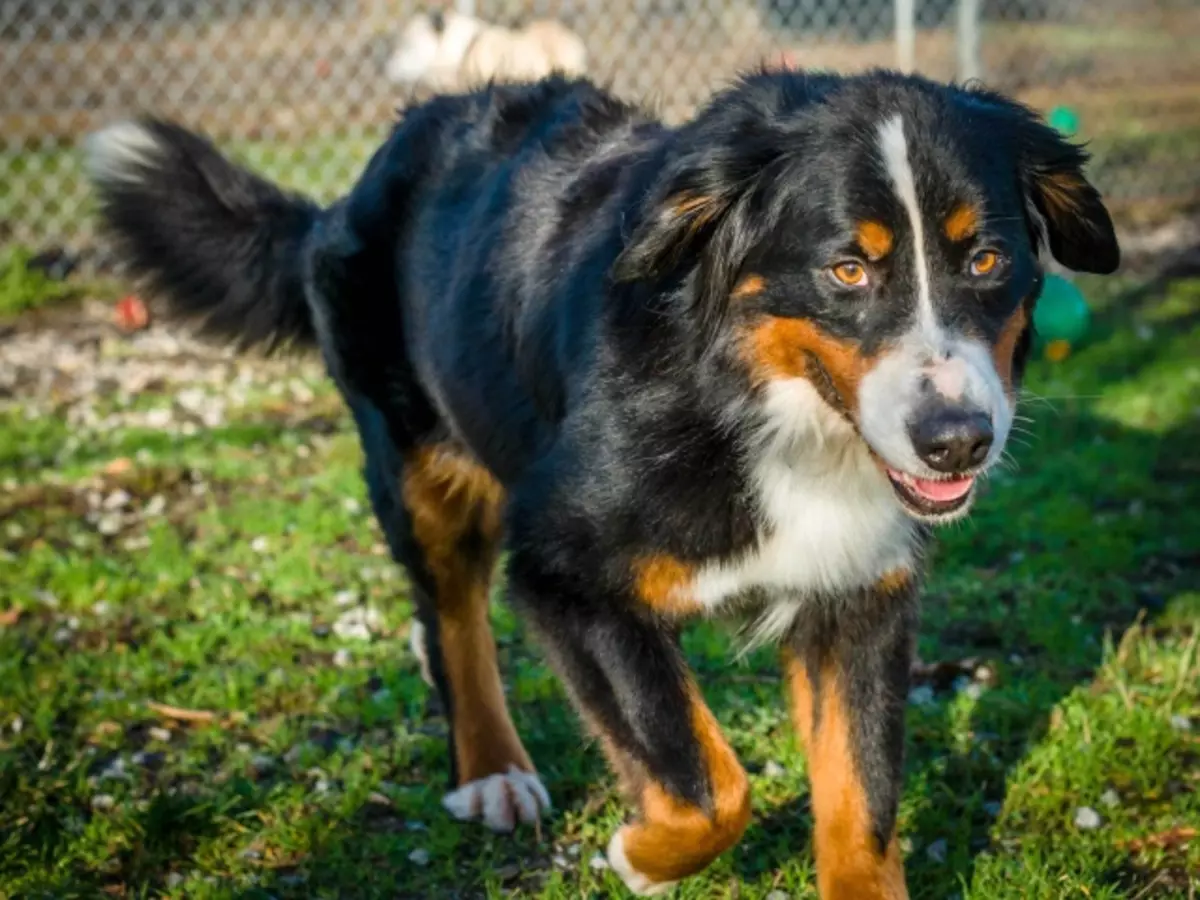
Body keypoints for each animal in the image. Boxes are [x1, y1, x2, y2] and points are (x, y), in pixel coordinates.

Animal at [84, 72, 1113, 900]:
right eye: (847, 270)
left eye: (986, 260)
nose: (958, 442)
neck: (756, 401)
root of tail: (362, 179)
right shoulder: (565, 569)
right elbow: (706, 783)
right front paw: (642, 857)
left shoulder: (858, 597)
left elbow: (860, 804)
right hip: (420, 469)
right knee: (452, 621)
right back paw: (491, 771)